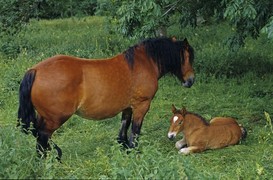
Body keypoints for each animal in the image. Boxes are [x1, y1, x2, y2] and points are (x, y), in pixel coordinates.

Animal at [17, 37, 193, 158]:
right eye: (188, 57)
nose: (191, 80)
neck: (144, 63)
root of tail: (35, 70)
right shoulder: (141, 106)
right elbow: (135, 132)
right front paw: (134, 152)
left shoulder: (128, 107)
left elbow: (123, 131)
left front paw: (124, 150)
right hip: (55, 118)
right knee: (42, 136)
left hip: (45, 116)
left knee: (37, 133)